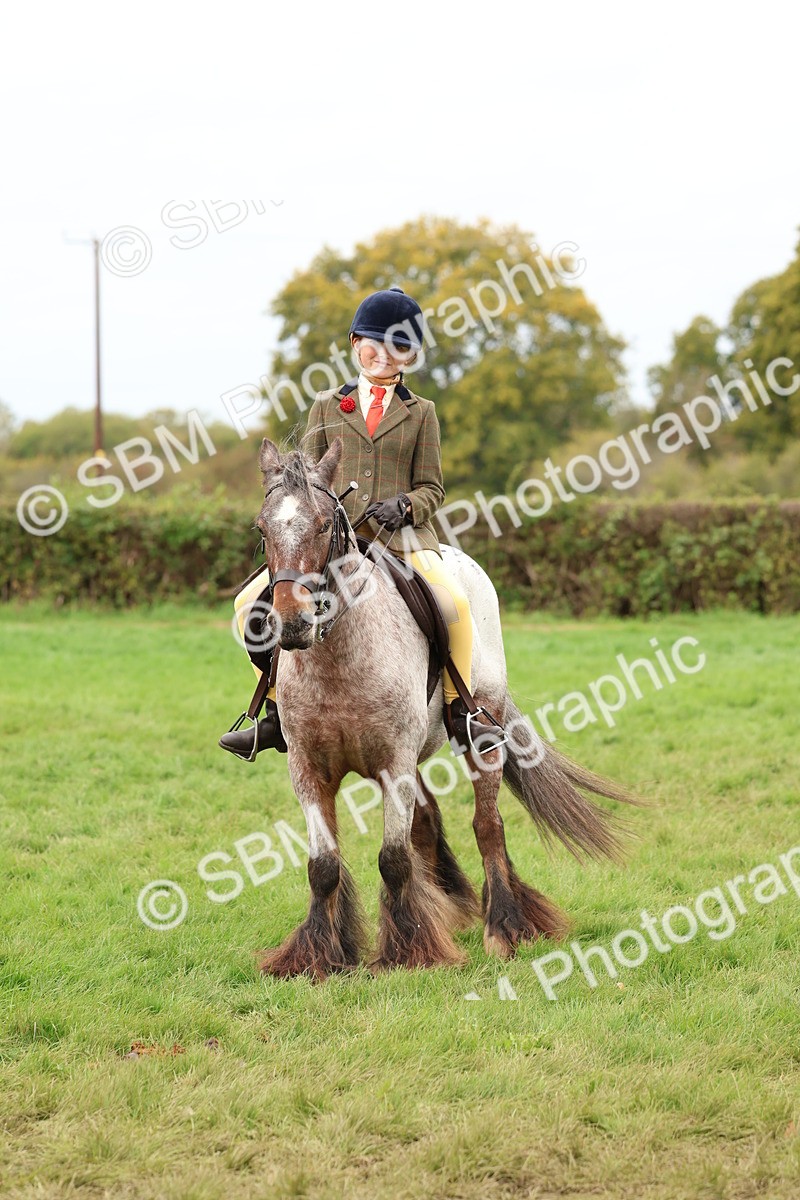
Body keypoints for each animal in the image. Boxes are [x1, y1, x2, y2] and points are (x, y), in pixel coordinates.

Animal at [251, 435, 634, 977]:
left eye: (324, 524)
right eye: (262, 529)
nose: (291, 624)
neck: (337, 658)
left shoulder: (394, 763)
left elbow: (393, 858)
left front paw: (410, 952)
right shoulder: (309, 768)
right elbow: (324, 866)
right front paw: (316, 958)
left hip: (481, 735)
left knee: (487, 826)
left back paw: (504, 927)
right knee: (428, 825)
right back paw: (452, 908)